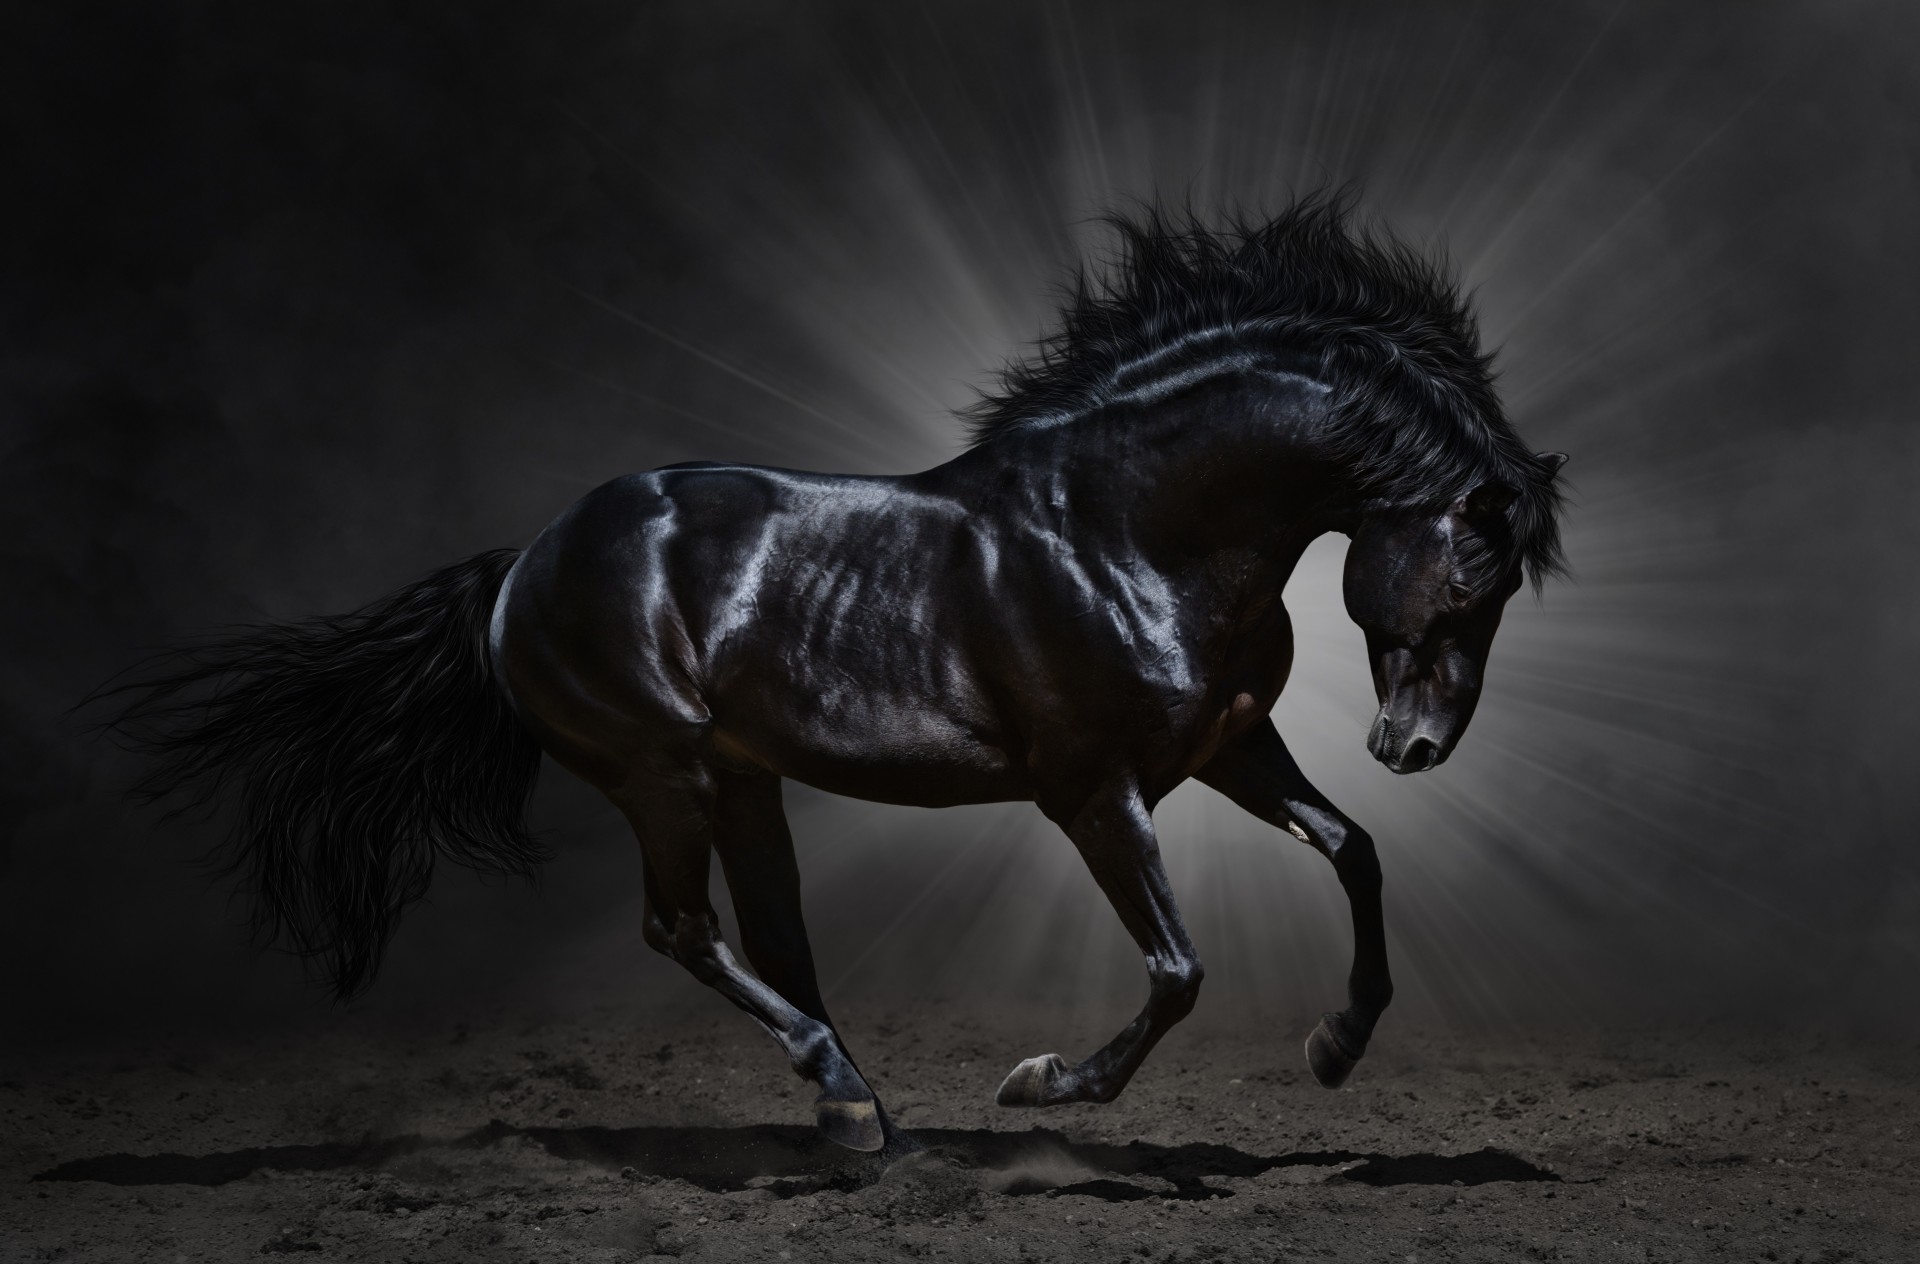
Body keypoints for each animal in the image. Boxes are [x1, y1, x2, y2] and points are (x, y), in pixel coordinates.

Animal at [109, 195, 1567, 1155]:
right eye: (1470, 577)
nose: (1415, 746)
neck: (1124, 531)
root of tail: (524, 562)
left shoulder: (1226, 748)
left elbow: (1353, 850)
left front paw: (1336, 1046)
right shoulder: (1095, 792)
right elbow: (1177, 968)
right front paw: (1043, 1085)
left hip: (740, 780)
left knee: (774, 940)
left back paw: (861, 1114)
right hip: (660, 771)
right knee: (684, 930)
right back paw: (851, 1102)